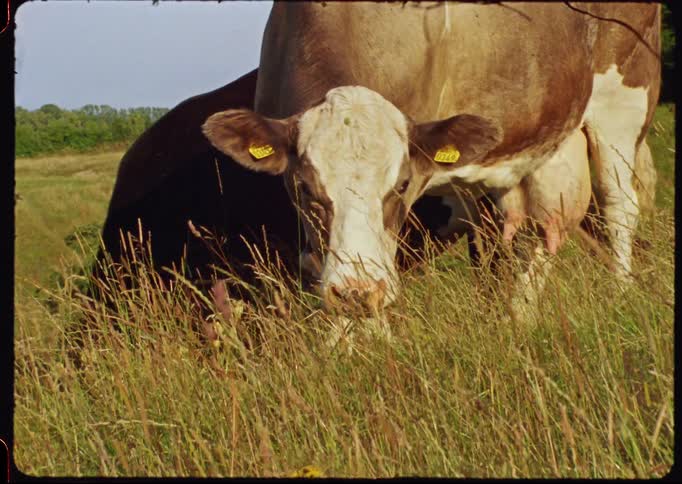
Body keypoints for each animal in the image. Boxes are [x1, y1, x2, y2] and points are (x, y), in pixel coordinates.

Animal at [202, 2, 660, 311]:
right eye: (302, 186)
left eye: (402, 184)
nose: (358, 291)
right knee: (536, 233)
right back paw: (518, 317)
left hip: (623, 104)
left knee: (618, 207)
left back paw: (620, 293)